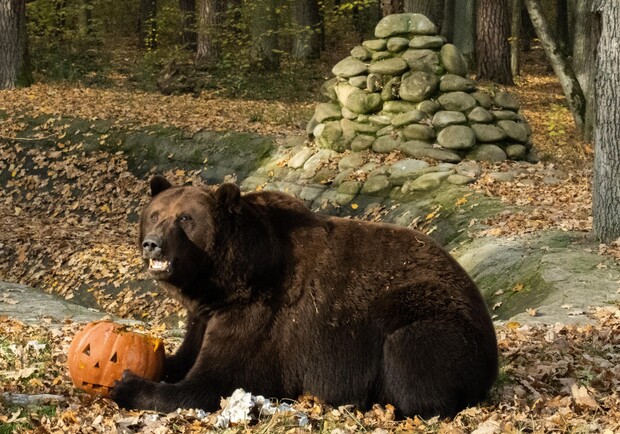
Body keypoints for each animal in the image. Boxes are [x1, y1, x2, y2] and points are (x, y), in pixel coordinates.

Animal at [111, 175, 498, 418]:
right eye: (155, 215)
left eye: (186, 219)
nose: (153, 244)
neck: (227, 280)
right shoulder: (207, 313)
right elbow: (186, 355)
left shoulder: (261, 317)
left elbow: (217, 381)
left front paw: (127, 385)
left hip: (429, 317)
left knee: (414, 364)